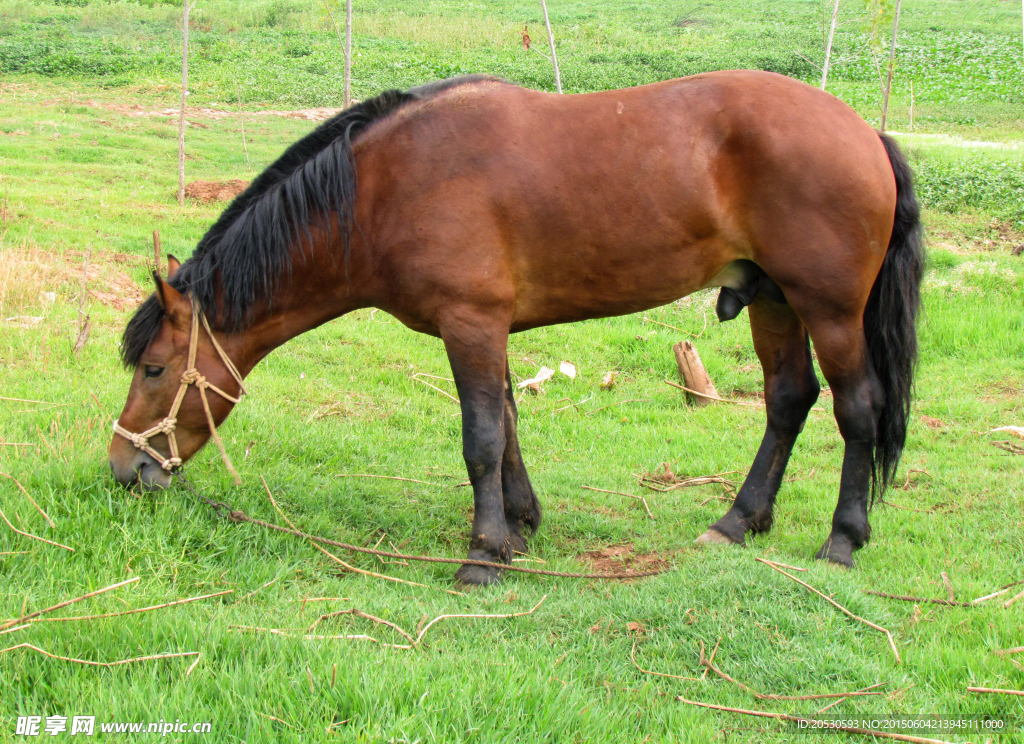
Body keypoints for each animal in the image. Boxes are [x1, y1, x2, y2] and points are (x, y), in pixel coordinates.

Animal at [108, 72, 925, 585]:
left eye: (154, 368)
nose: (124, 469)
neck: (385, 185)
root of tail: (866, 132)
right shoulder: (486, 327)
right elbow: (506, 427)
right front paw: (519, 529)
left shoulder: (469, 322)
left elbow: (481, 439)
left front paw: (480, 556)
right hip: (773, 300)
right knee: (788, 400)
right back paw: (737, 521)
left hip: (828, 310)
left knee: (857, 411)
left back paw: (842, 541)